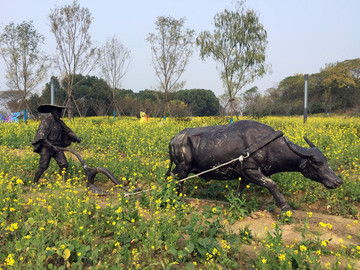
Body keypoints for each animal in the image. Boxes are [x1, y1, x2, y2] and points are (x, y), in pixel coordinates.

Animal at [166, 120, 340, 211]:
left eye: (326, 160)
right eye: (317, 163)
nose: (338, 181)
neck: (268, 146)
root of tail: (175, 138)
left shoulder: (246, 175)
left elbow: (240, 190)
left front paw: (236, 203)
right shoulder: (251, 170)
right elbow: (272, 184)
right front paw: (285, 207)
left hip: (181, 167)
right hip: (183, 167)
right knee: (176, 179)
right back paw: (178, 198)